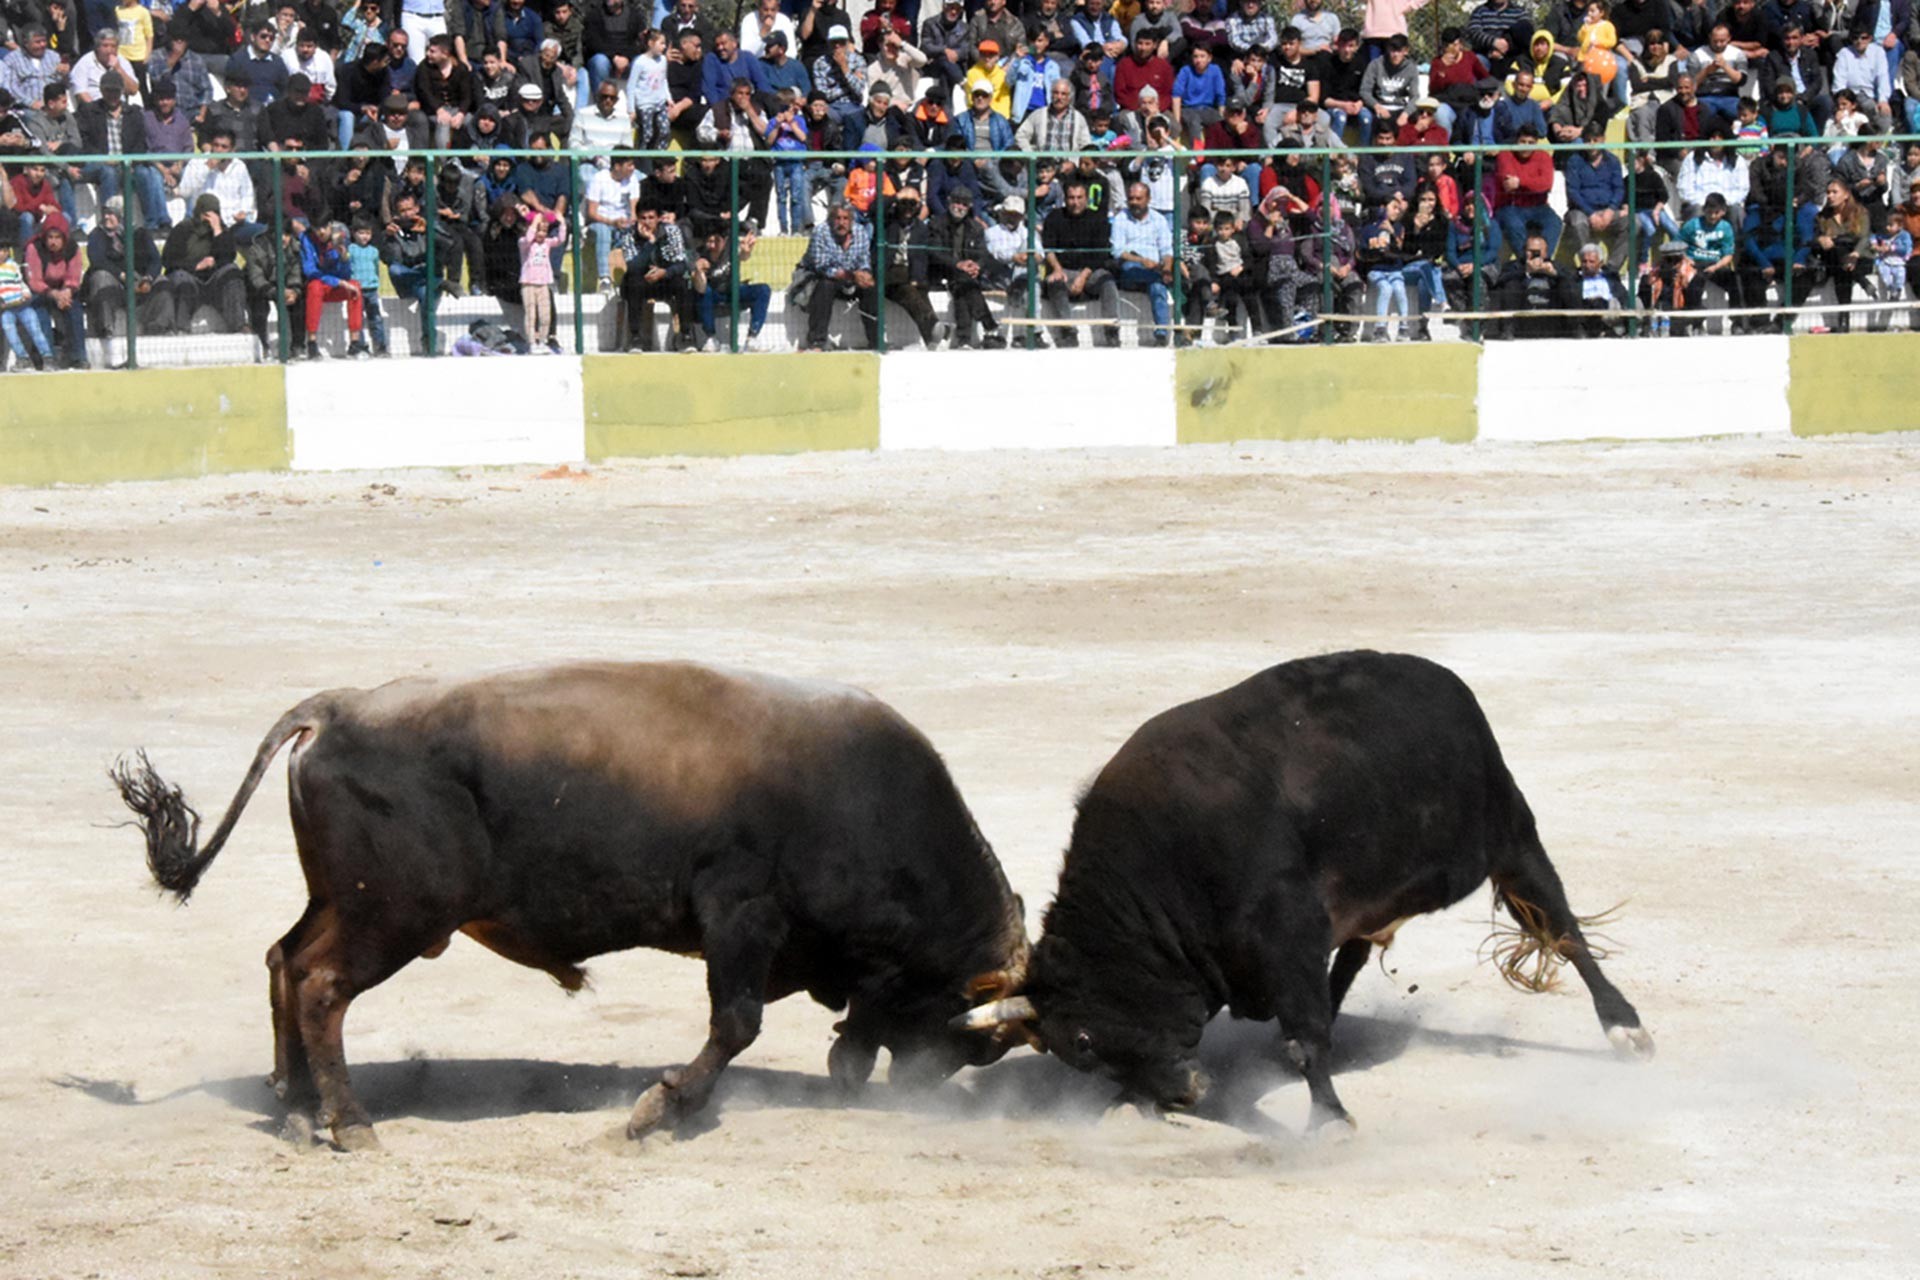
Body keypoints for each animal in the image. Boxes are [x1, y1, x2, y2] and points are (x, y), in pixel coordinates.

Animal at [112, 660, 1029, 1151]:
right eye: (972, 1038)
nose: (915, 1092)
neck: (860, 798)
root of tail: (337, 708)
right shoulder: (742, 919)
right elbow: (735, 1024)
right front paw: (658, 1112)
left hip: (341, 902)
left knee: (284, 962)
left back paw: (299, 1110)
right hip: (396, 917)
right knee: (322, 987)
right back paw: (352, 1123)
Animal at [967, 656, 1658, 1128]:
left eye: (1083, 1042)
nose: (1185, 1094)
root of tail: (1444, 681)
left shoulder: (1287, 928)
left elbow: (1306, 1036)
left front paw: (1328, 1121)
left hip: (1513, 838)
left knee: (1563, 931)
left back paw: (1626, 1029)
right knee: (1352, 955)